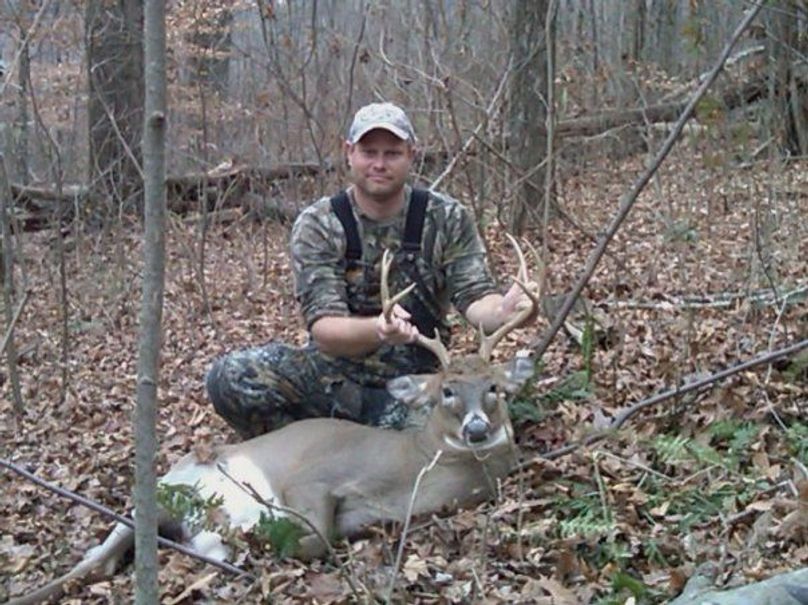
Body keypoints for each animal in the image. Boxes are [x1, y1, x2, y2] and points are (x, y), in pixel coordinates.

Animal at [7, 234, 544, 600]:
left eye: (494, 388)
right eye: (447, 391)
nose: (477, 428)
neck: (413, 472)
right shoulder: (313, 477)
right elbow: (317, 534)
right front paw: (275, 537)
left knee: (183, 549)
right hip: (162, 490)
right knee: (97, 557)